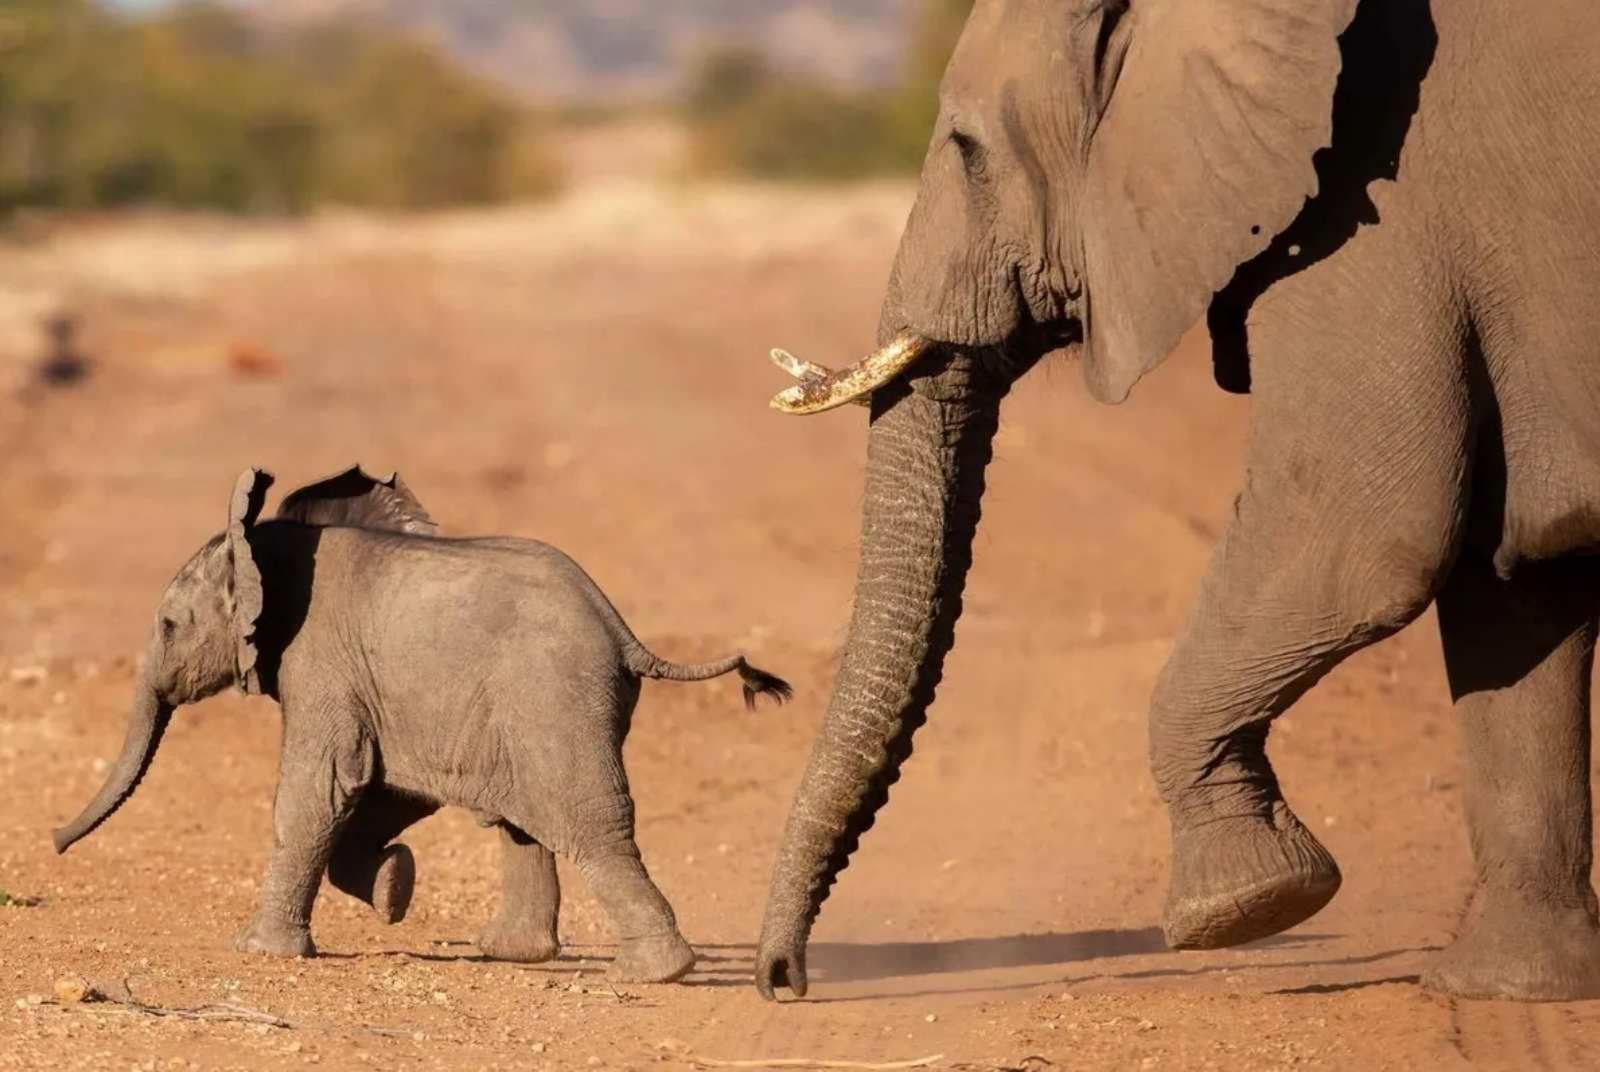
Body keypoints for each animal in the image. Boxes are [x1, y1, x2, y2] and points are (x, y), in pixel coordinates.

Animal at [53, 466, 791, 983]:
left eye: (168, 626)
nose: (54, 843)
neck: (264, 547)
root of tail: (622, 629)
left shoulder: (321, 663)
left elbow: (322, 789)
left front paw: (259, 951)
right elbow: (380, 792)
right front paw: (394, 889)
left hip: (552, 696)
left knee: (587, 822)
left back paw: (654, 972)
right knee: (522, 821)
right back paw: (513, 954)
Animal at [756, 0, 1600, 1003]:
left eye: (967, 150)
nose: (783, 981)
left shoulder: (1375, 204)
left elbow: (1357, 540)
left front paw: (1246, 907)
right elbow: (1510, 587)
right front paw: (1507, 990)